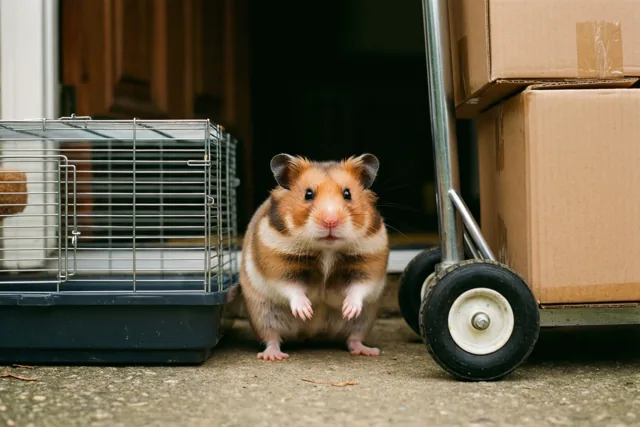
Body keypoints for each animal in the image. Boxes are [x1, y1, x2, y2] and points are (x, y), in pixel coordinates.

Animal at [239, 153, 389, 361]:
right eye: (308, 194)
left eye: (347, 194)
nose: (330, 221)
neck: (327, 250)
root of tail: (313, 333)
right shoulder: (277, 264)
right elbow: (291, 288)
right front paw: (305, 312)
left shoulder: (369, 262)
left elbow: (359, 288)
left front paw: (349, 310)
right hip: (263, 314)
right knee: (272, 338)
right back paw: (273, 355)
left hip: (365, 319)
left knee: (353, 338)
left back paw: (368, 351)